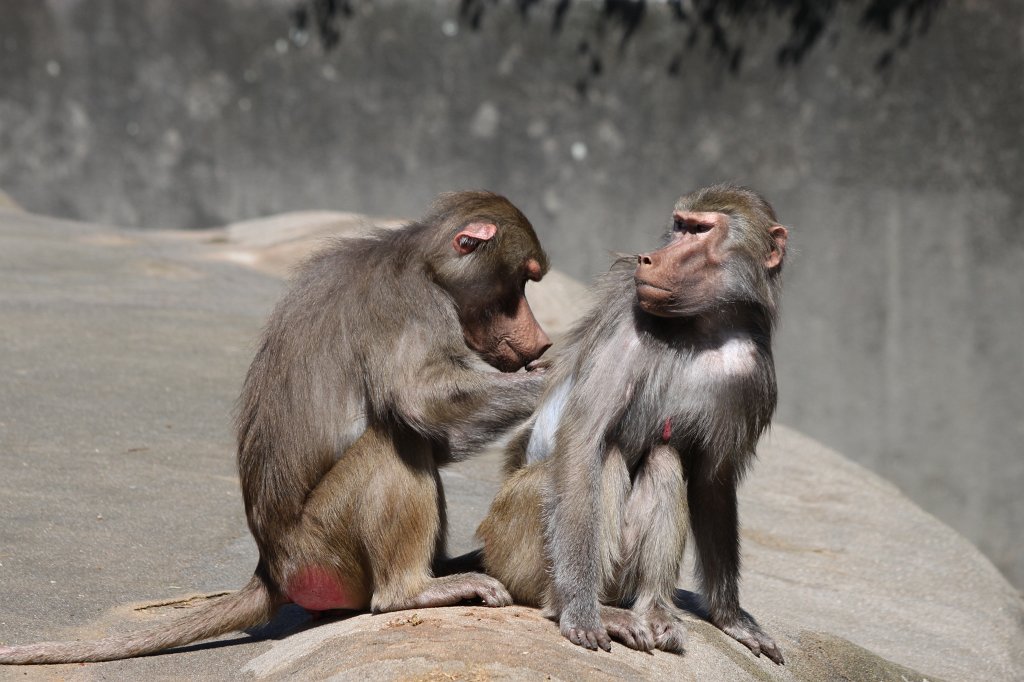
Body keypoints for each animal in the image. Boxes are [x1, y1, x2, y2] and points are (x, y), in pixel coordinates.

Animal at [0, 190, 552, 665]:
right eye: (522, 282)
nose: (542, 341)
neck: (421, 259)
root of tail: (272, 568)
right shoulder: (413, 306)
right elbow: (422, 403)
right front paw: (555, 378)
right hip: (322, 548)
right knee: (395, 443)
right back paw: (413, 591)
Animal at [476, 184, 787, 664]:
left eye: (700, 230)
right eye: (679, 225)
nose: (648, 258)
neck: (701, 327)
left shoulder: (753, 371)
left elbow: (712, 481)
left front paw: (732, 618)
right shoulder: (629, 316)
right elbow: (583, 441)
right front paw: (580, 613)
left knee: (664, 457)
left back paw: (654, 608)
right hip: (511, 539)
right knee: (599, 461)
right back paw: (583, 606)